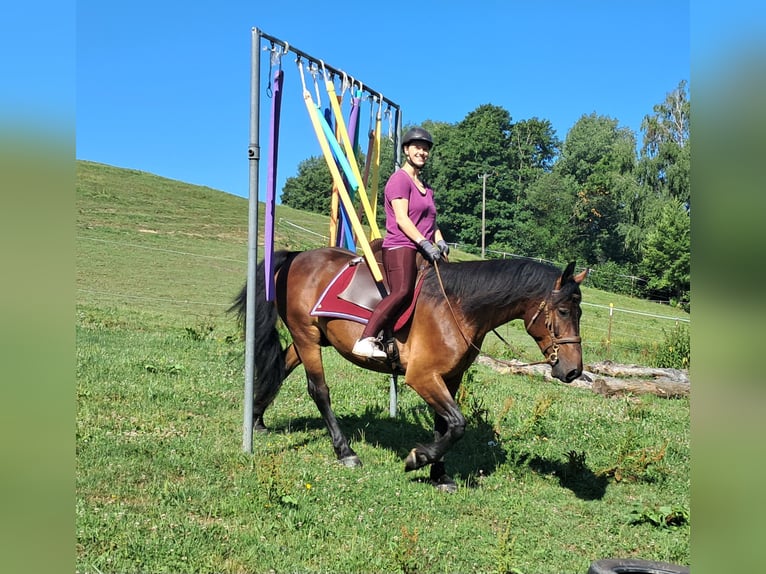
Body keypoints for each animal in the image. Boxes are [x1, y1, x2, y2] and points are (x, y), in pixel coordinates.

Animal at [231, 247, 586, 492]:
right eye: (563, 311)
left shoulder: (450, 378)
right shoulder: (422, 377)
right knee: (319, 391)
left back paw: (256, 418)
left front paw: (439, 474)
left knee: (281, 367)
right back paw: (345, 451)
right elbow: (458, 424)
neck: (457, 307)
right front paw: (420, 459)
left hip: (312, 338)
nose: (573, 371)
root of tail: (298, 256)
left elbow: (445, 425)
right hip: (306, 336)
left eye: (579, 313)